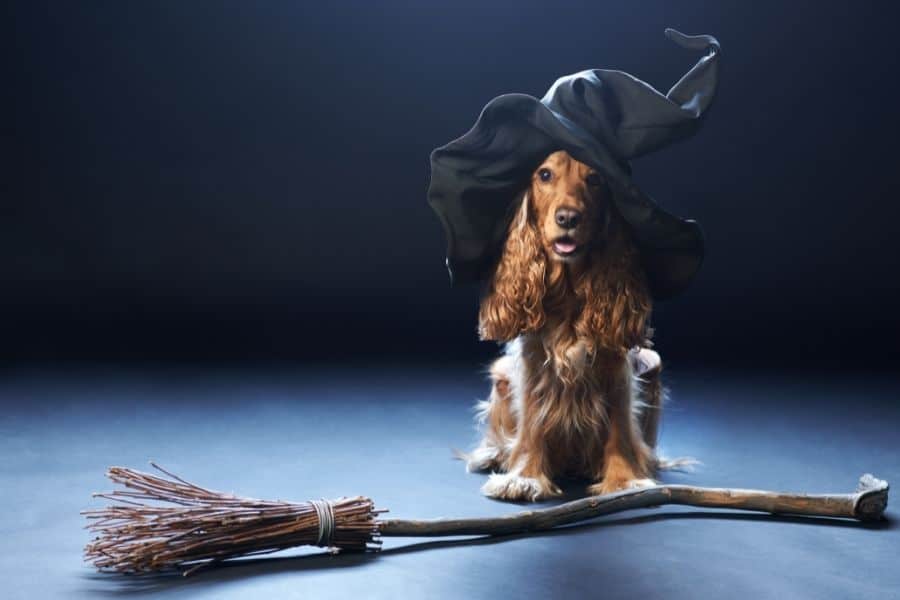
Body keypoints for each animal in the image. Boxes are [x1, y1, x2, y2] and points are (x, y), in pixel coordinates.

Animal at [468, 150, 664, 502]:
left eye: (595, 179)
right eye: (545, 175)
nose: (568, 218)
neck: (570, 289)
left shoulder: (616, 366)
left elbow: (620, 427)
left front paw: (624, 480)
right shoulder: (532, 361)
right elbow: (532, 419)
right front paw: (524, 477)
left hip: (652, 364)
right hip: (501, 373)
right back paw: (494, 454)